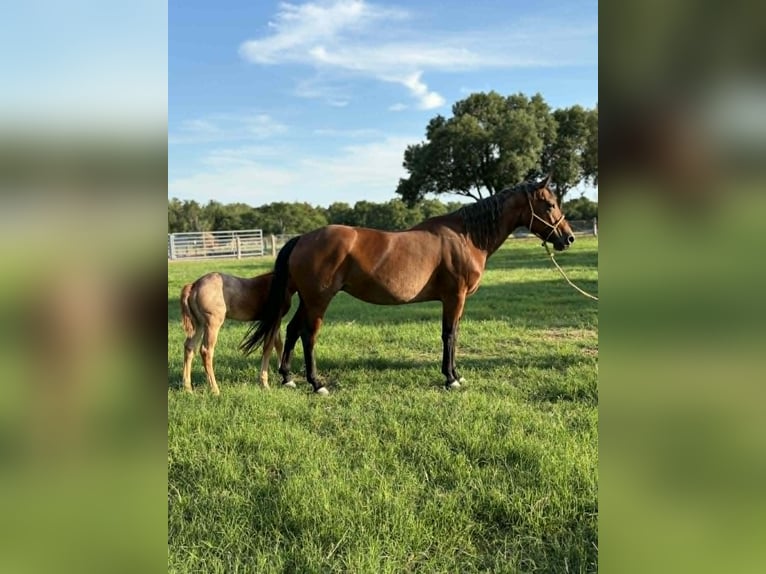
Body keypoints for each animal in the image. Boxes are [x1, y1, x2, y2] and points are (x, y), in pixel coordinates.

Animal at [240, 176, 575, 394]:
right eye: (549, 204)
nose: (568, 238)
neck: (466, 237)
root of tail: (302, 238)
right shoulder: (454, 297)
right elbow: (449, 335)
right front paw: (451, 378)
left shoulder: (455, 300)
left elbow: (453, 335)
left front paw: (455, 374)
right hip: (319, 300)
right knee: (309, 336)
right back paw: (316, 383)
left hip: (307, 299)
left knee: (293, 330)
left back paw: (288, 377)